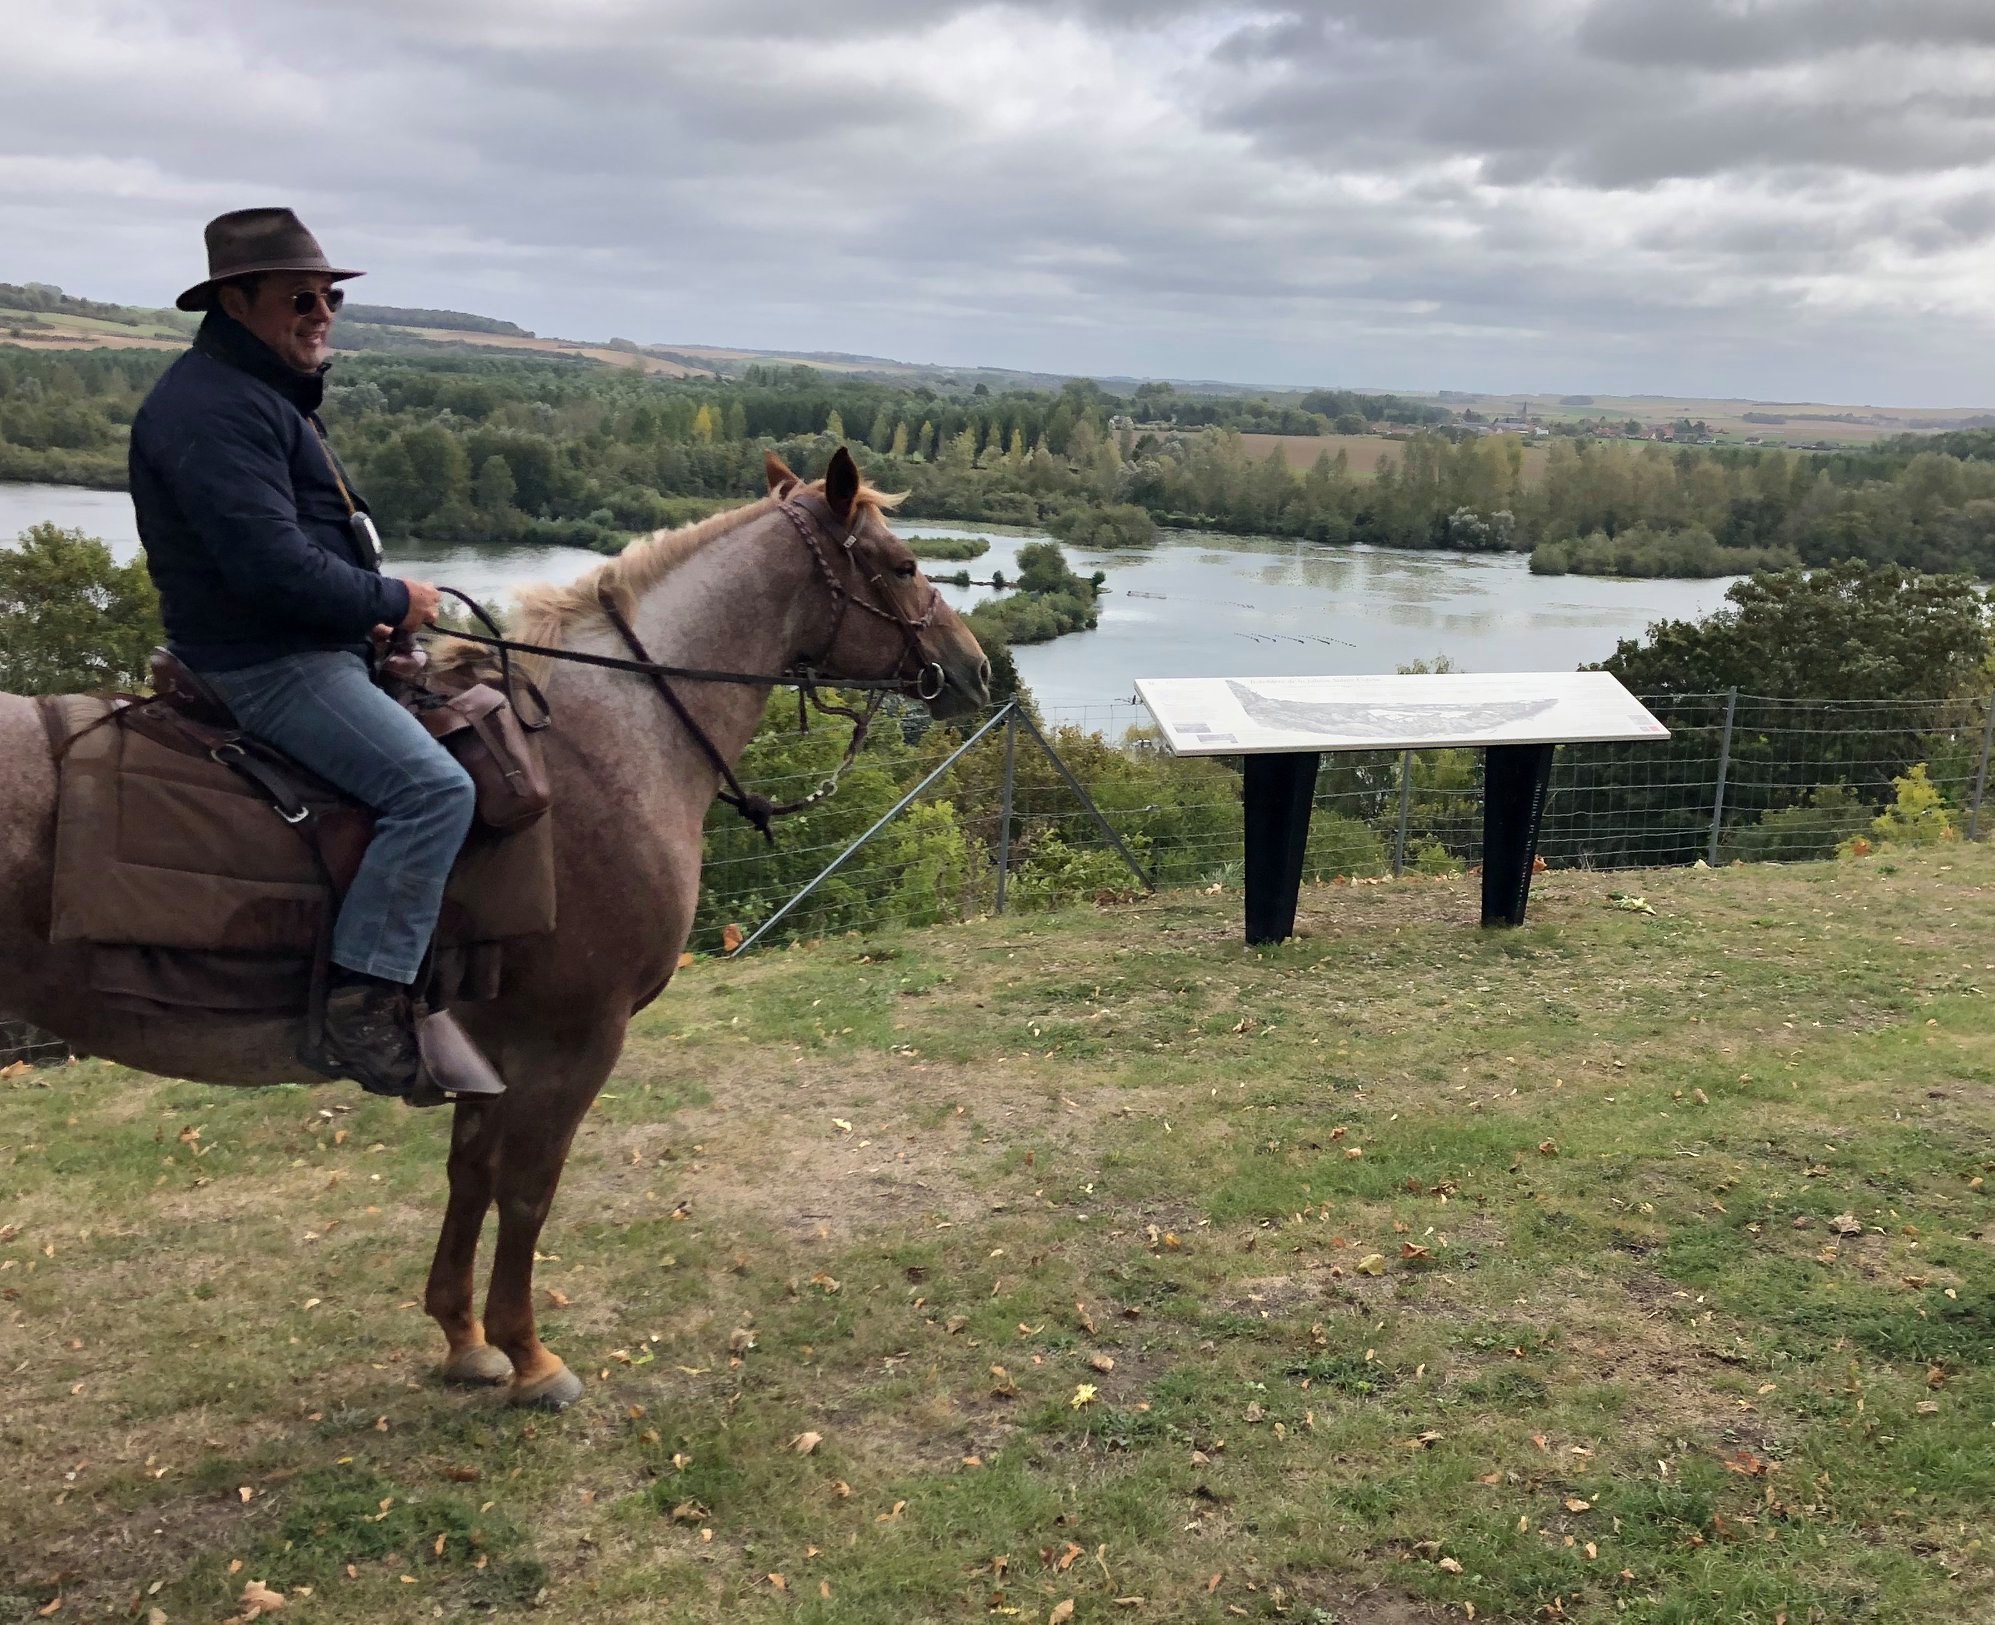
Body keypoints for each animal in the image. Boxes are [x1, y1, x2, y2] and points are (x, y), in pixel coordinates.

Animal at [0, 448, 989, 1411]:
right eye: (903, 566)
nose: (974, 666)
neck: (609, 740)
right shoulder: (574, 1036)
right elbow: (527, 1190)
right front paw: (529, 1354)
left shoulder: (486, 1038)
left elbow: (469, 1172)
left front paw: (462, 1337)